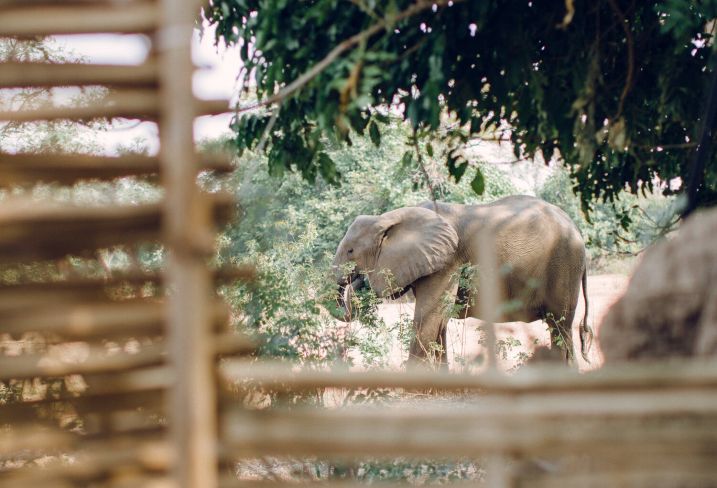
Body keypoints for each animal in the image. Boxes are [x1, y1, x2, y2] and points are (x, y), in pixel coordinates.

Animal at [332, 194, 592, 366]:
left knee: (560, 325)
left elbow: (427, 318)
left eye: (350, 251)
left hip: (564, 264)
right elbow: (438, 320)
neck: (389, 218)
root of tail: (577, 229)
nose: (358, 281)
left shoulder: (447, 261)